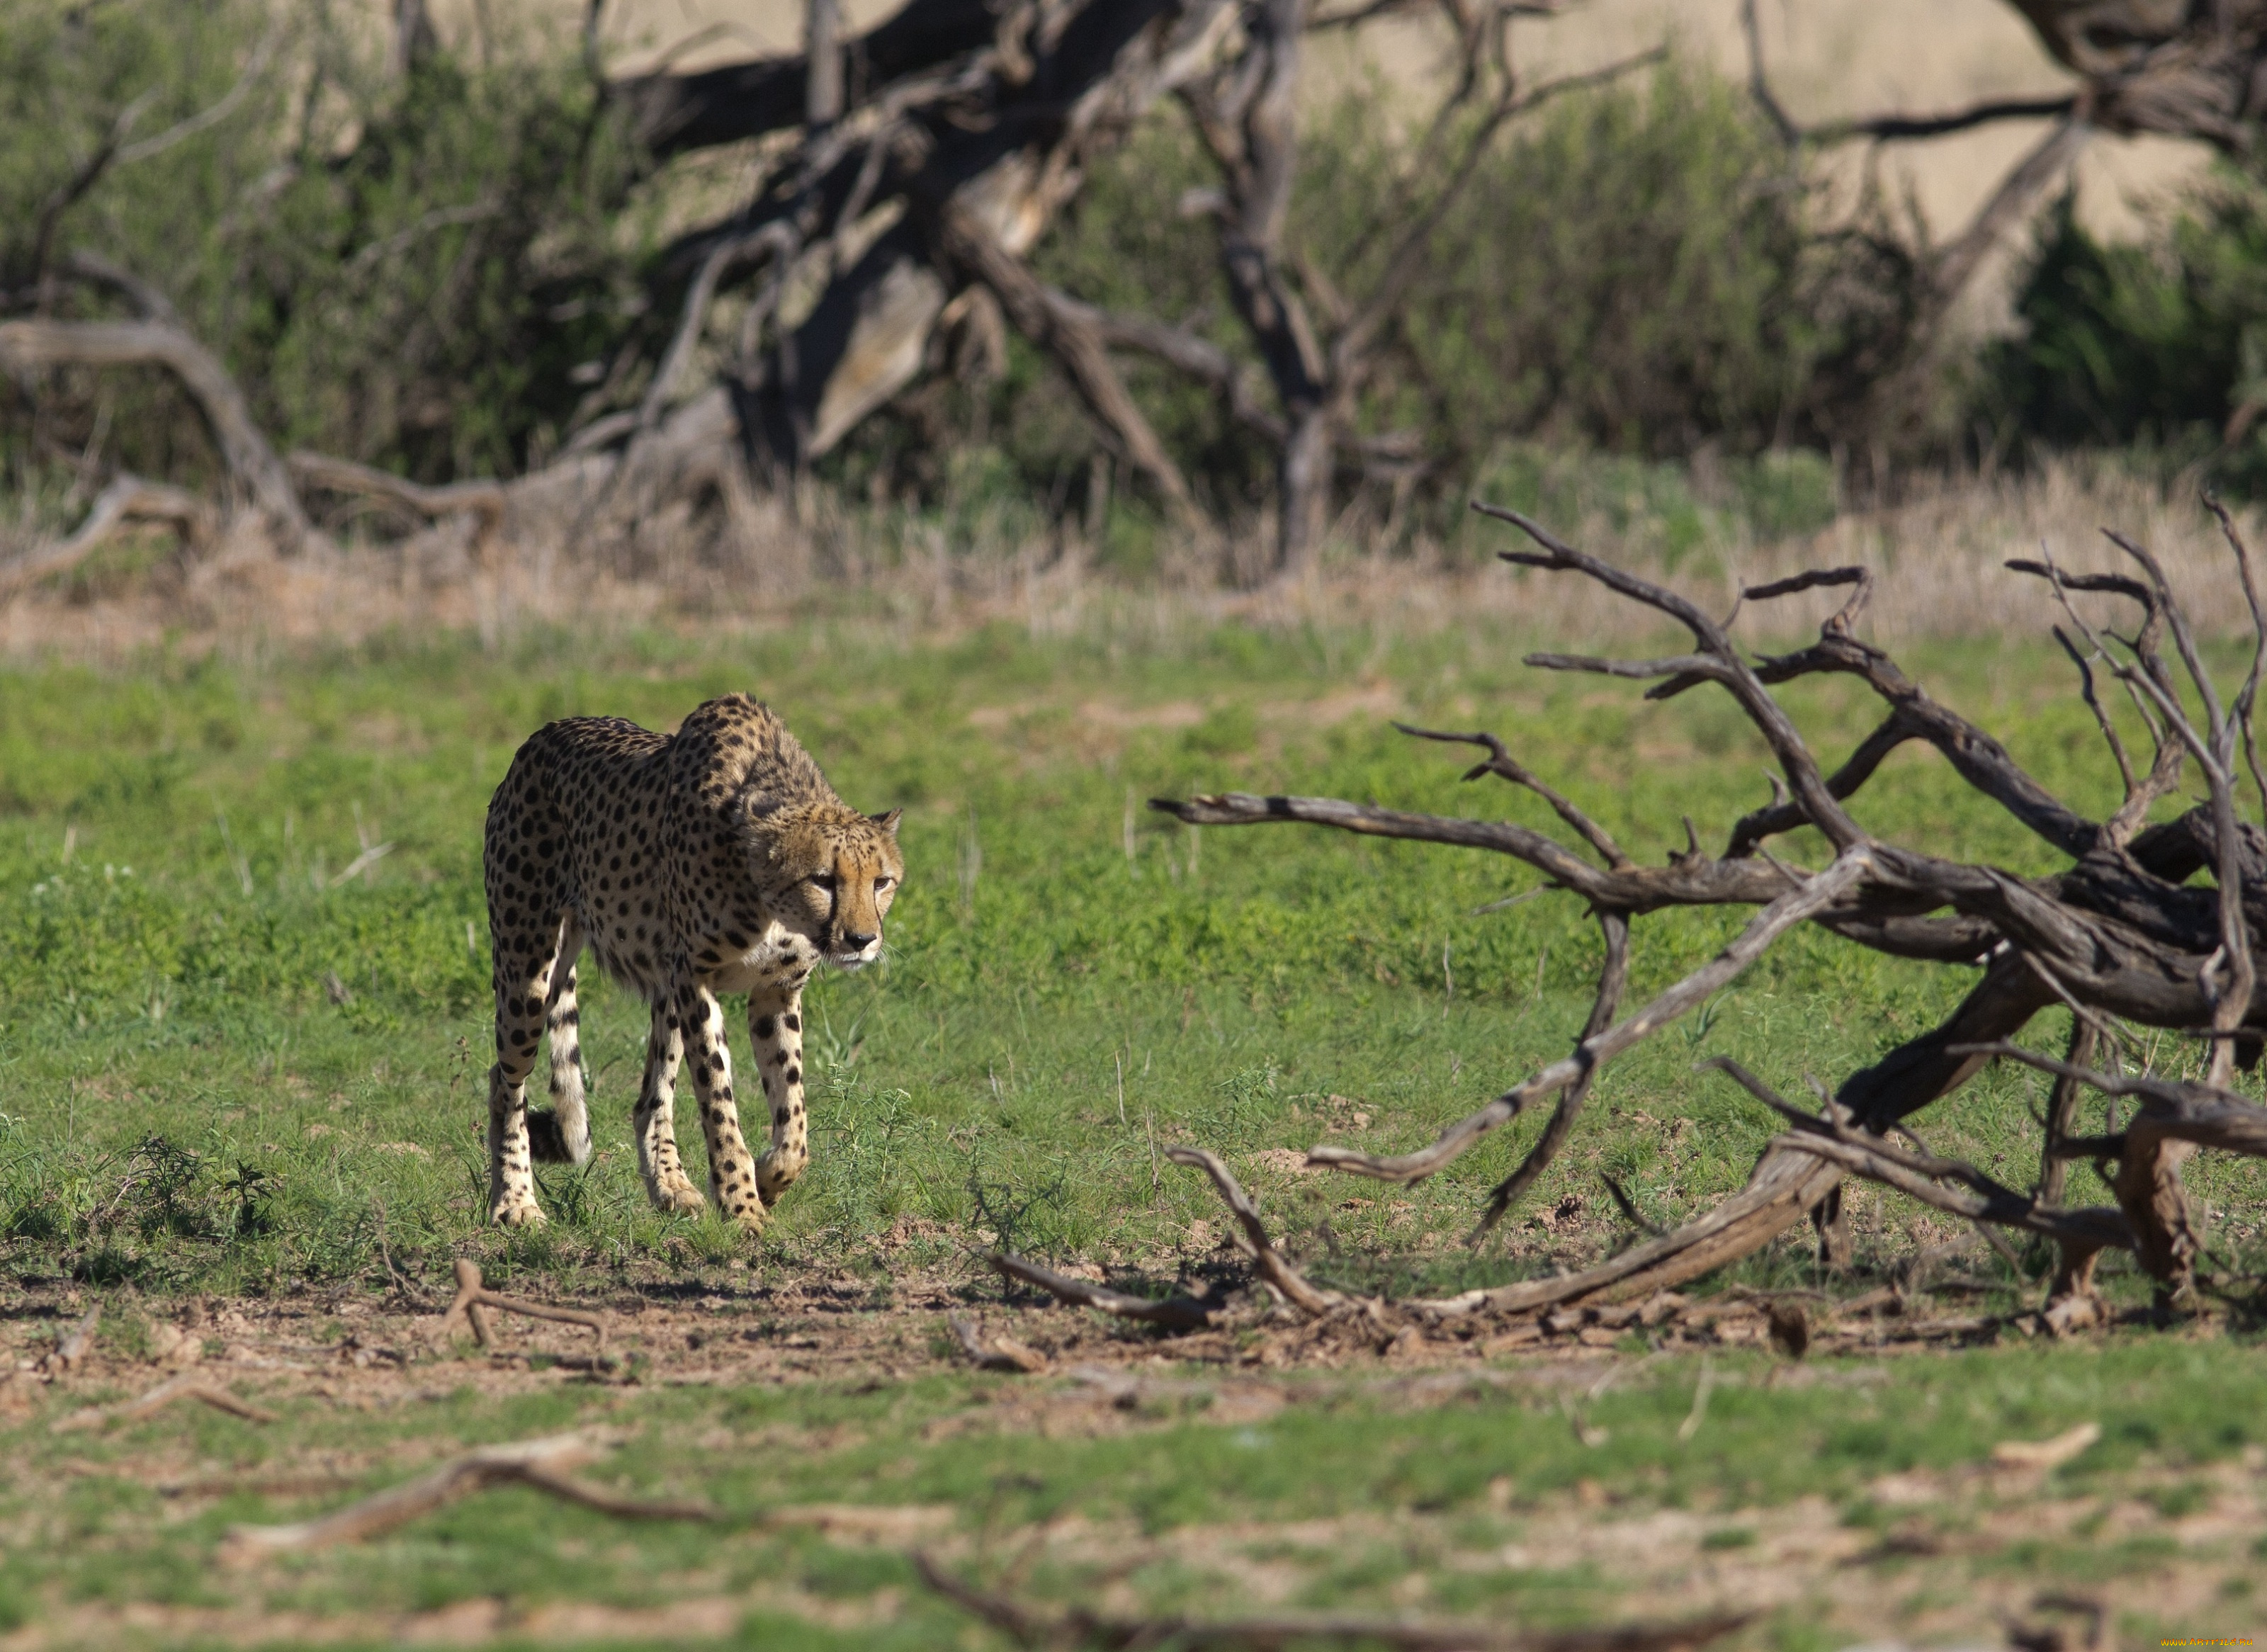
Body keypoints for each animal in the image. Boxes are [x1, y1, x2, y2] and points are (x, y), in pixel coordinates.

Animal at [482, 693, 898, 1223]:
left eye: (881, 881)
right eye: (823, 879)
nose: (862, 939)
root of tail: (541, 737)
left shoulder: (774, 991)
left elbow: (793, 1117)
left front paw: (768, 1180)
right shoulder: (697, 981)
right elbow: (719, 1100)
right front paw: (743, 1207)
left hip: (660, 987)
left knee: (649, 1098)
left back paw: (671, 1188)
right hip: (528, 967)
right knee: (505, 1081)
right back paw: (516, 1202)